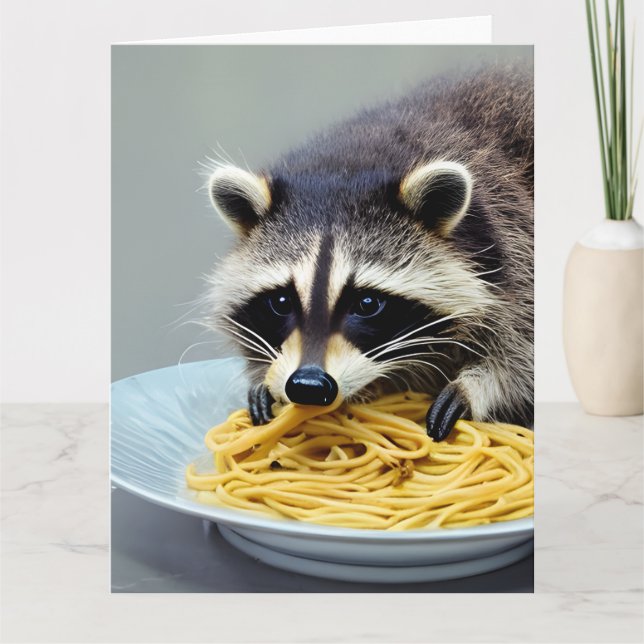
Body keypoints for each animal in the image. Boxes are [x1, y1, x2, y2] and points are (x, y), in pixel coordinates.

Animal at [205, 63, 533, 441]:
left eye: (367, 303)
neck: (350, 162)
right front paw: (264, 379)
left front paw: (478, 385)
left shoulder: (514, 239)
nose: (308, 385)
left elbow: (522, 351)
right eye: (281, 301)